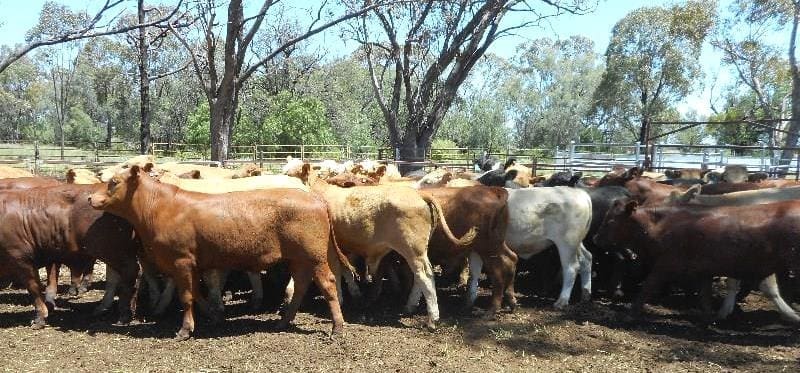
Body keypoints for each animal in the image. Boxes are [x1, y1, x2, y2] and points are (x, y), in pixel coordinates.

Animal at [0, 185, 139, 326]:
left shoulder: (21, 257)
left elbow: (33, 288)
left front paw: (40, 317)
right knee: (116, 277)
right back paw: (106, 309)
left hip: (112, 250)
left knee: (130, 272)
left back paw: (124, 314)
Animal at [89, 164, 348, 338]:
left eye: (114, 182)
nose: (91, 197)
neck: (160, 208)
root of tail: (314, 198)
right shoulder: (191, 263)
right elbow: (196, 292)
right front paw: (213, 316)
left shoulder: (181, 260)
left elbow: (186, 296)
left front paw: (184, 330)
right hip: (298, 258)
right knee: (302, 284)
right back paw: (283, 321)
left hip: (314, 256)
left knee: (327, 283)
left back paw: (337, 327)